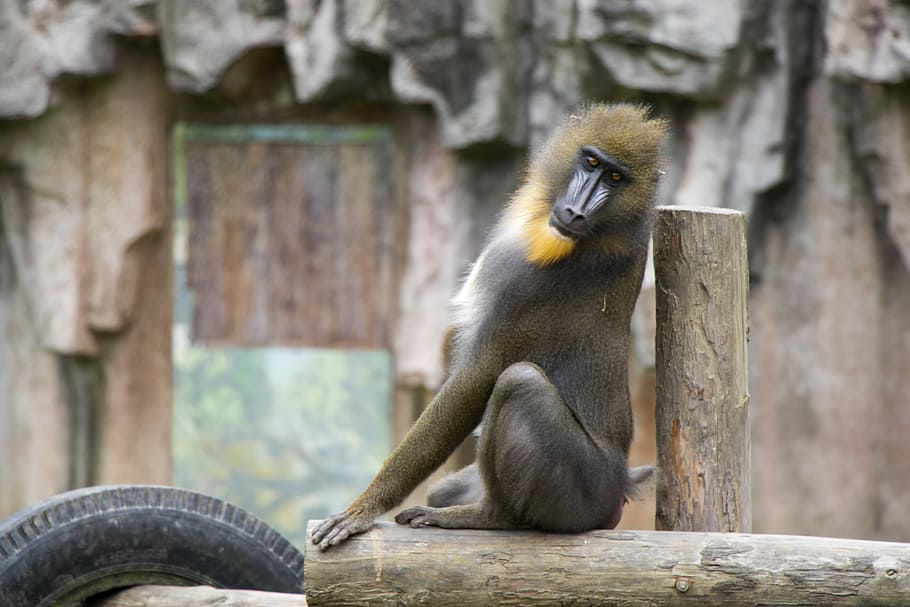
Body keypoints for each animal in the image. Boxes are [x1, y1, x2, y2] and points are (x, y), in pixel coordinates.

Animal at [311, 103, 667, 550]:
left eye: (616, 179)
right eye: (591, 163)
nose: (577, 211)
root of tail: (619, 487)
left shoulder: (522, 292)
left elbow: (476, 380)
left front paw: (362, 509)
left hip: (579, 492)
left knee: (519, 382)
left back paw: (486, 516)